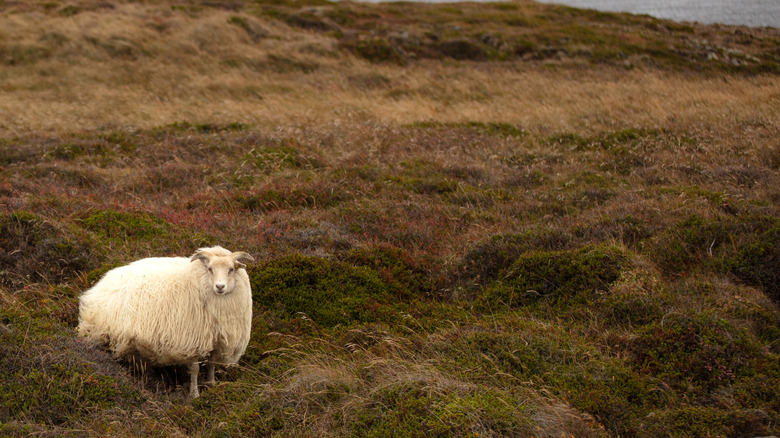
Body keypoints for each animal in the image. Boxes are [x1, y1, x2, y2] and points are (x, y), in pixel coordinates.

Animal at [76, 246, 253, 396]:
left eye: (231, 269)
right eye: (210, 269)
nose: (220, 287)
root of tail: (99, 284)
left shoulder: (218, 342)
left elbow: (211, 365)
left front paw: (212, 385)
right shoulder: (192, 341)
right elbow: (195, 369)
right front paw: (194, 395)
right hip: (100, 333)